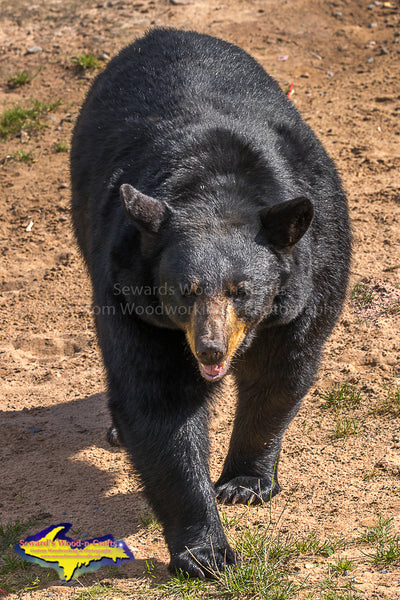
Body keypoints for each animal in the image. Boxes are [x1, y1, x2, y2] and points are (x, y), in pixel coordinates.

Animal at [70, 28, 352, 576]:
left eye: (241, 290)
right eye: (186, 291)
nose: (210, 351)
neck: (215, 188)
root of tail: (163, 32)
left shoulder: (315, 272)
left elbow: (281, 371)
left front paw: (244, 484)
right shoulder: (130, 295)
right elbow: (159, 402)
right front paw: (205, 552)